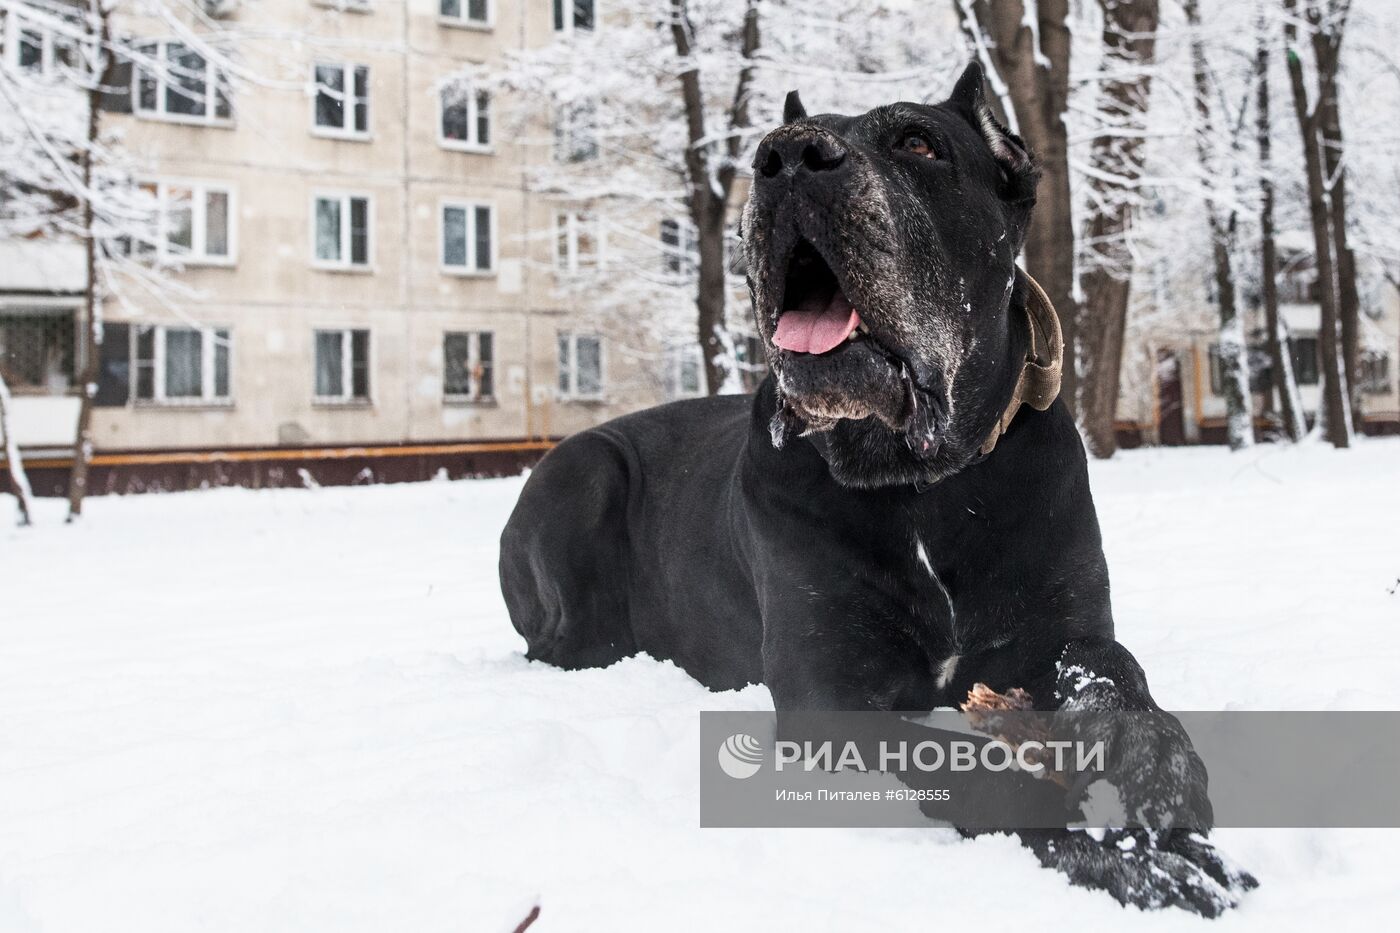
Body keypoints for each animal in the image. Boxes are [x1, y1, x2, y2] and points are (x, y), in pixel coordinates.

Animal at [501, 65, 1260, 913]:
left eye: (919, 143)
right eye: (767, 148)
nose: (787, 158)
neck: (920, 479)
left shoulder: (1063, 624)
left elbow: (1115, 673)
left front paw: (1158, 768)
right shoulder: (831, 694)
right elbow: (968, 766)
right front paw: (1117, 854)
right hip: (583, 472)